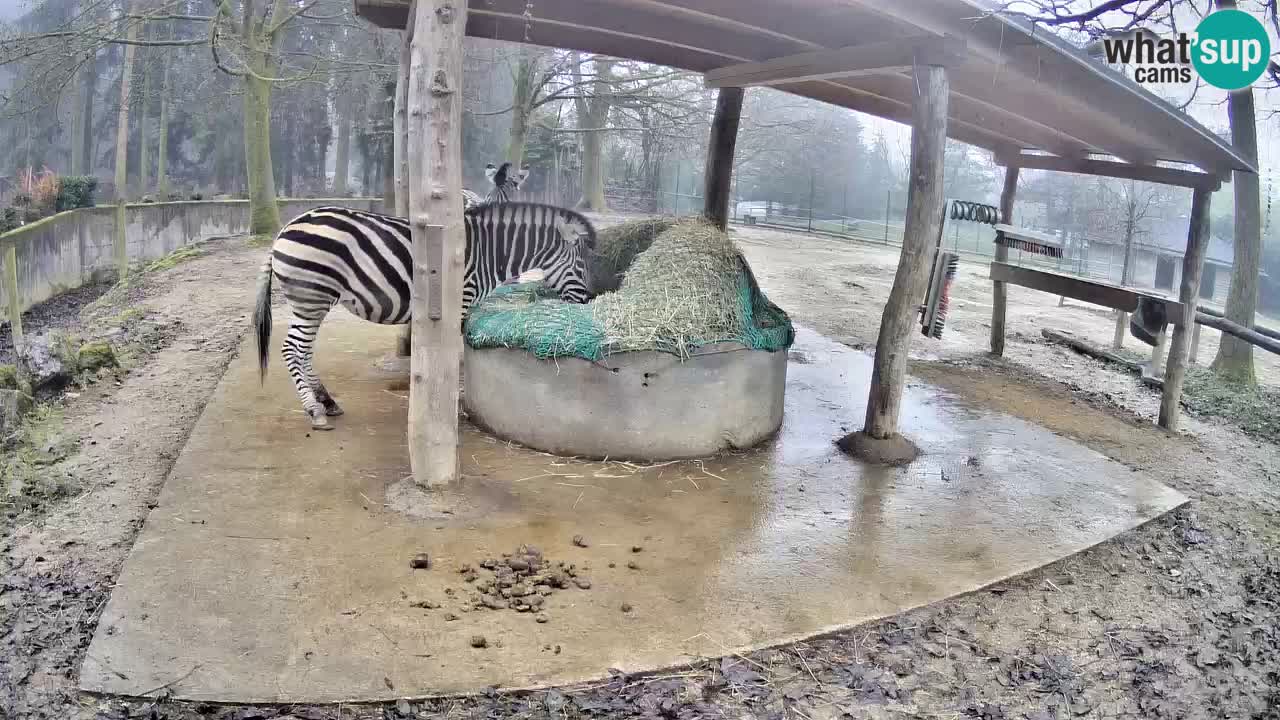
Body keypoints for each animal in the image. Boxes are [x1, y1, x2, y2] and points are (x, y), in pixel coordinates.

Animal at [253, 201, 597, 430]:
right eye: (582, 266)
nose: (587, 301)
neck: (487, 253)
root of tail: (285, 229)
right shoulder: (460, 302)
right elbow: (453, 356)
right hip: (312, 297)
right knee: (292, 349)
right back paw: (314, 410)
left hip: (311, 302)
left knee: (304, 351)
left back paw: (327, 401)